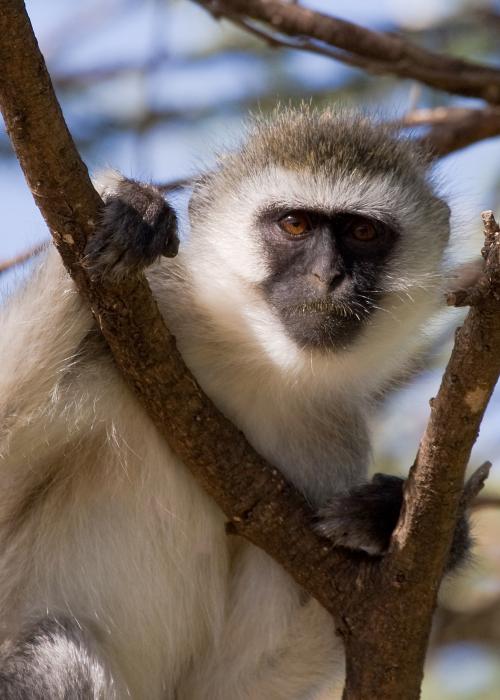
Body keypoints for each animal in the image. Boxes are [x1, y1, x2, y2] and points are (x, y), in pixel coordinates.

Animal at [0, 109, 468, 700]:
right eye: (295, 225)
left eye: (363, 233)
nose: (329, 277)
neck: (254, 363)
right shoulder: (106, 350)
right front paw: (130, 206)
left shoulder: (330, 450)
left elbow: (229, 682)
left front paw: (389, 516)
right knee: (57, 657)